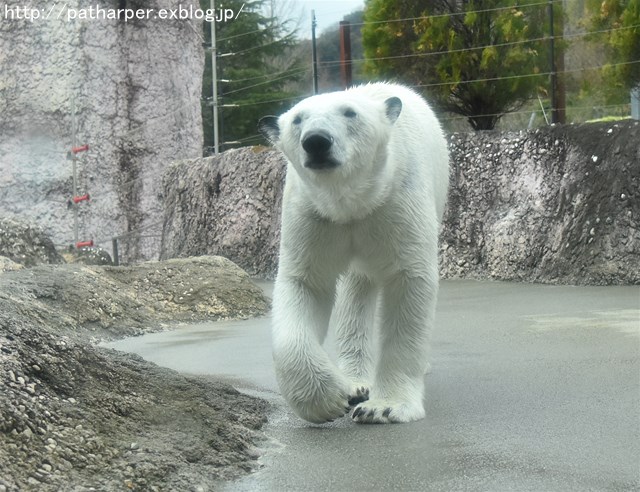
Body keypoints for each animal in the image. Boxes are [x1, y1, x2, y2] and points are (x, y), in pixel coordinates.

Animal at [258, 82, 448, 424]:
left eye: (350, 112)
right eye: (297, 119)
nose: (316, 141)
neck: (352, 204)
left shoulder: (398, 203)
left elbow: (409, 280)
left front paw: (385, 407)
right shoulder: (313, 215)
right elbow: (307, 283)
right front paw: (329, 400)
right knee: (356, 289)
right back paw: (356, 383)